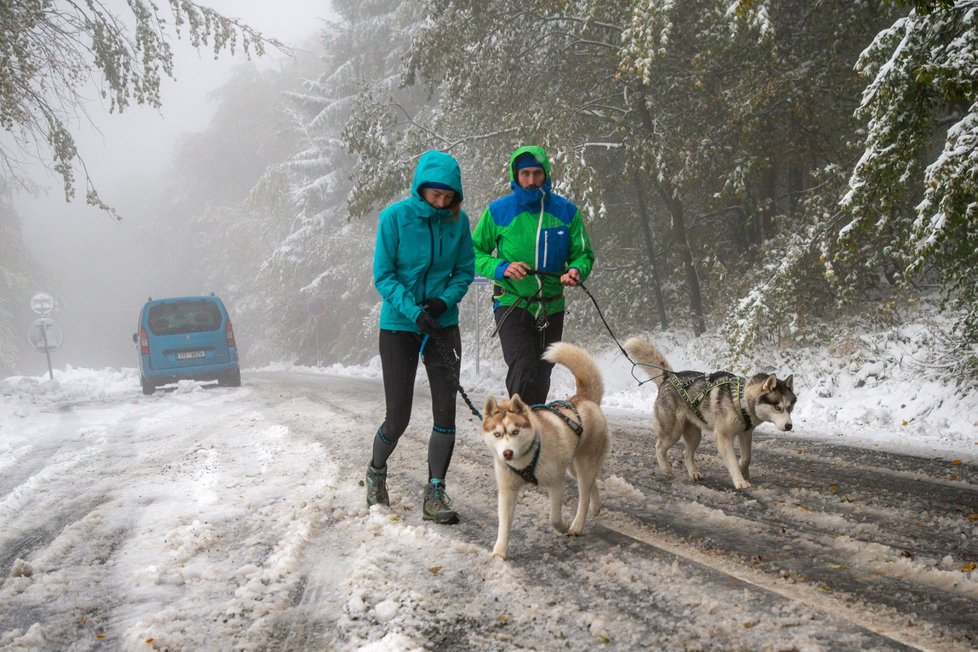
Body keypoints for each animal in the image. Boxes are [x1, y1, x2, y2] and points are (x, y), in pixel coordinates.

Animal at [478, 342, 608, 560]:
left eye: (515, 431)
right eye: (497, 434)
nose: (507, 454)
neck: (527, 457)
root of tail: (583, 398)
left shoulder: (556, 483)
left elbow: (554, 518)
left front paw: (563, 526)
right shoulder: (507, 490)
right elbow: (503, 524)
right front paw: (499, 552)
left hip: (582, 464)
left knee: (583, 494)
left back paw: (576, 525)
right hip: (572, 466)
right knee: (592, 483)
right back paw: (596, 506)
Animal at [624, 338, 792, 486]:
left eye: (790, 407)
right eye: (777, 407)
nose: (789, 426)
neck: (740, 399)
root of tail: (669, 377)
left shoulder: (745, 433)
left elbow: (747, 457)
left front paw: (744, 472)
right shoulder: (723, 437)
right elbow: (732, 461)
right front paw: (739, 481)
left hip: (694, 435)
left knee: (686, 454)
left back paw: (693, 473)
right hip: (673, 432)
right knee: (659, 448)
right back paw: (666, 469)